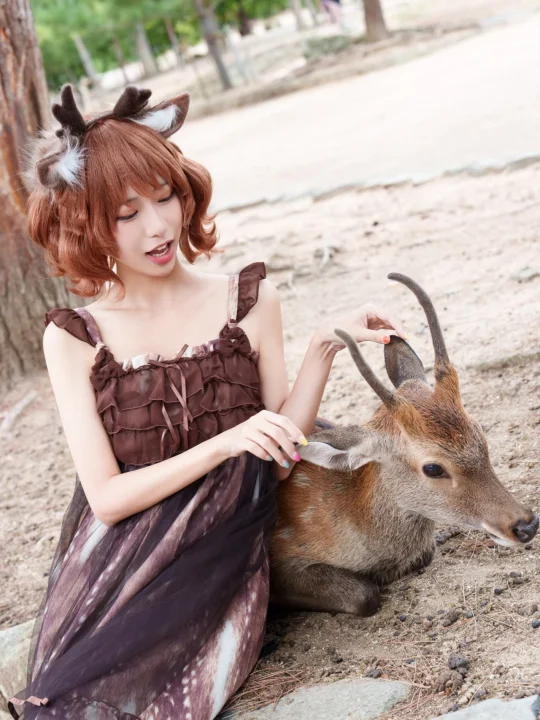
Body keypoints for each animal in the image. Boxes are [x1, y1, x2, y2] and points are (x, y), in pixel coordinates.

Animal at [270, 273, 539, 616]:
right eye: (433, 468)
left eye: (482, 434)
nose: (526, 525)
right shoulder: (282, 559)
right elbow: (364, 595)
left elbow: (425, 553)